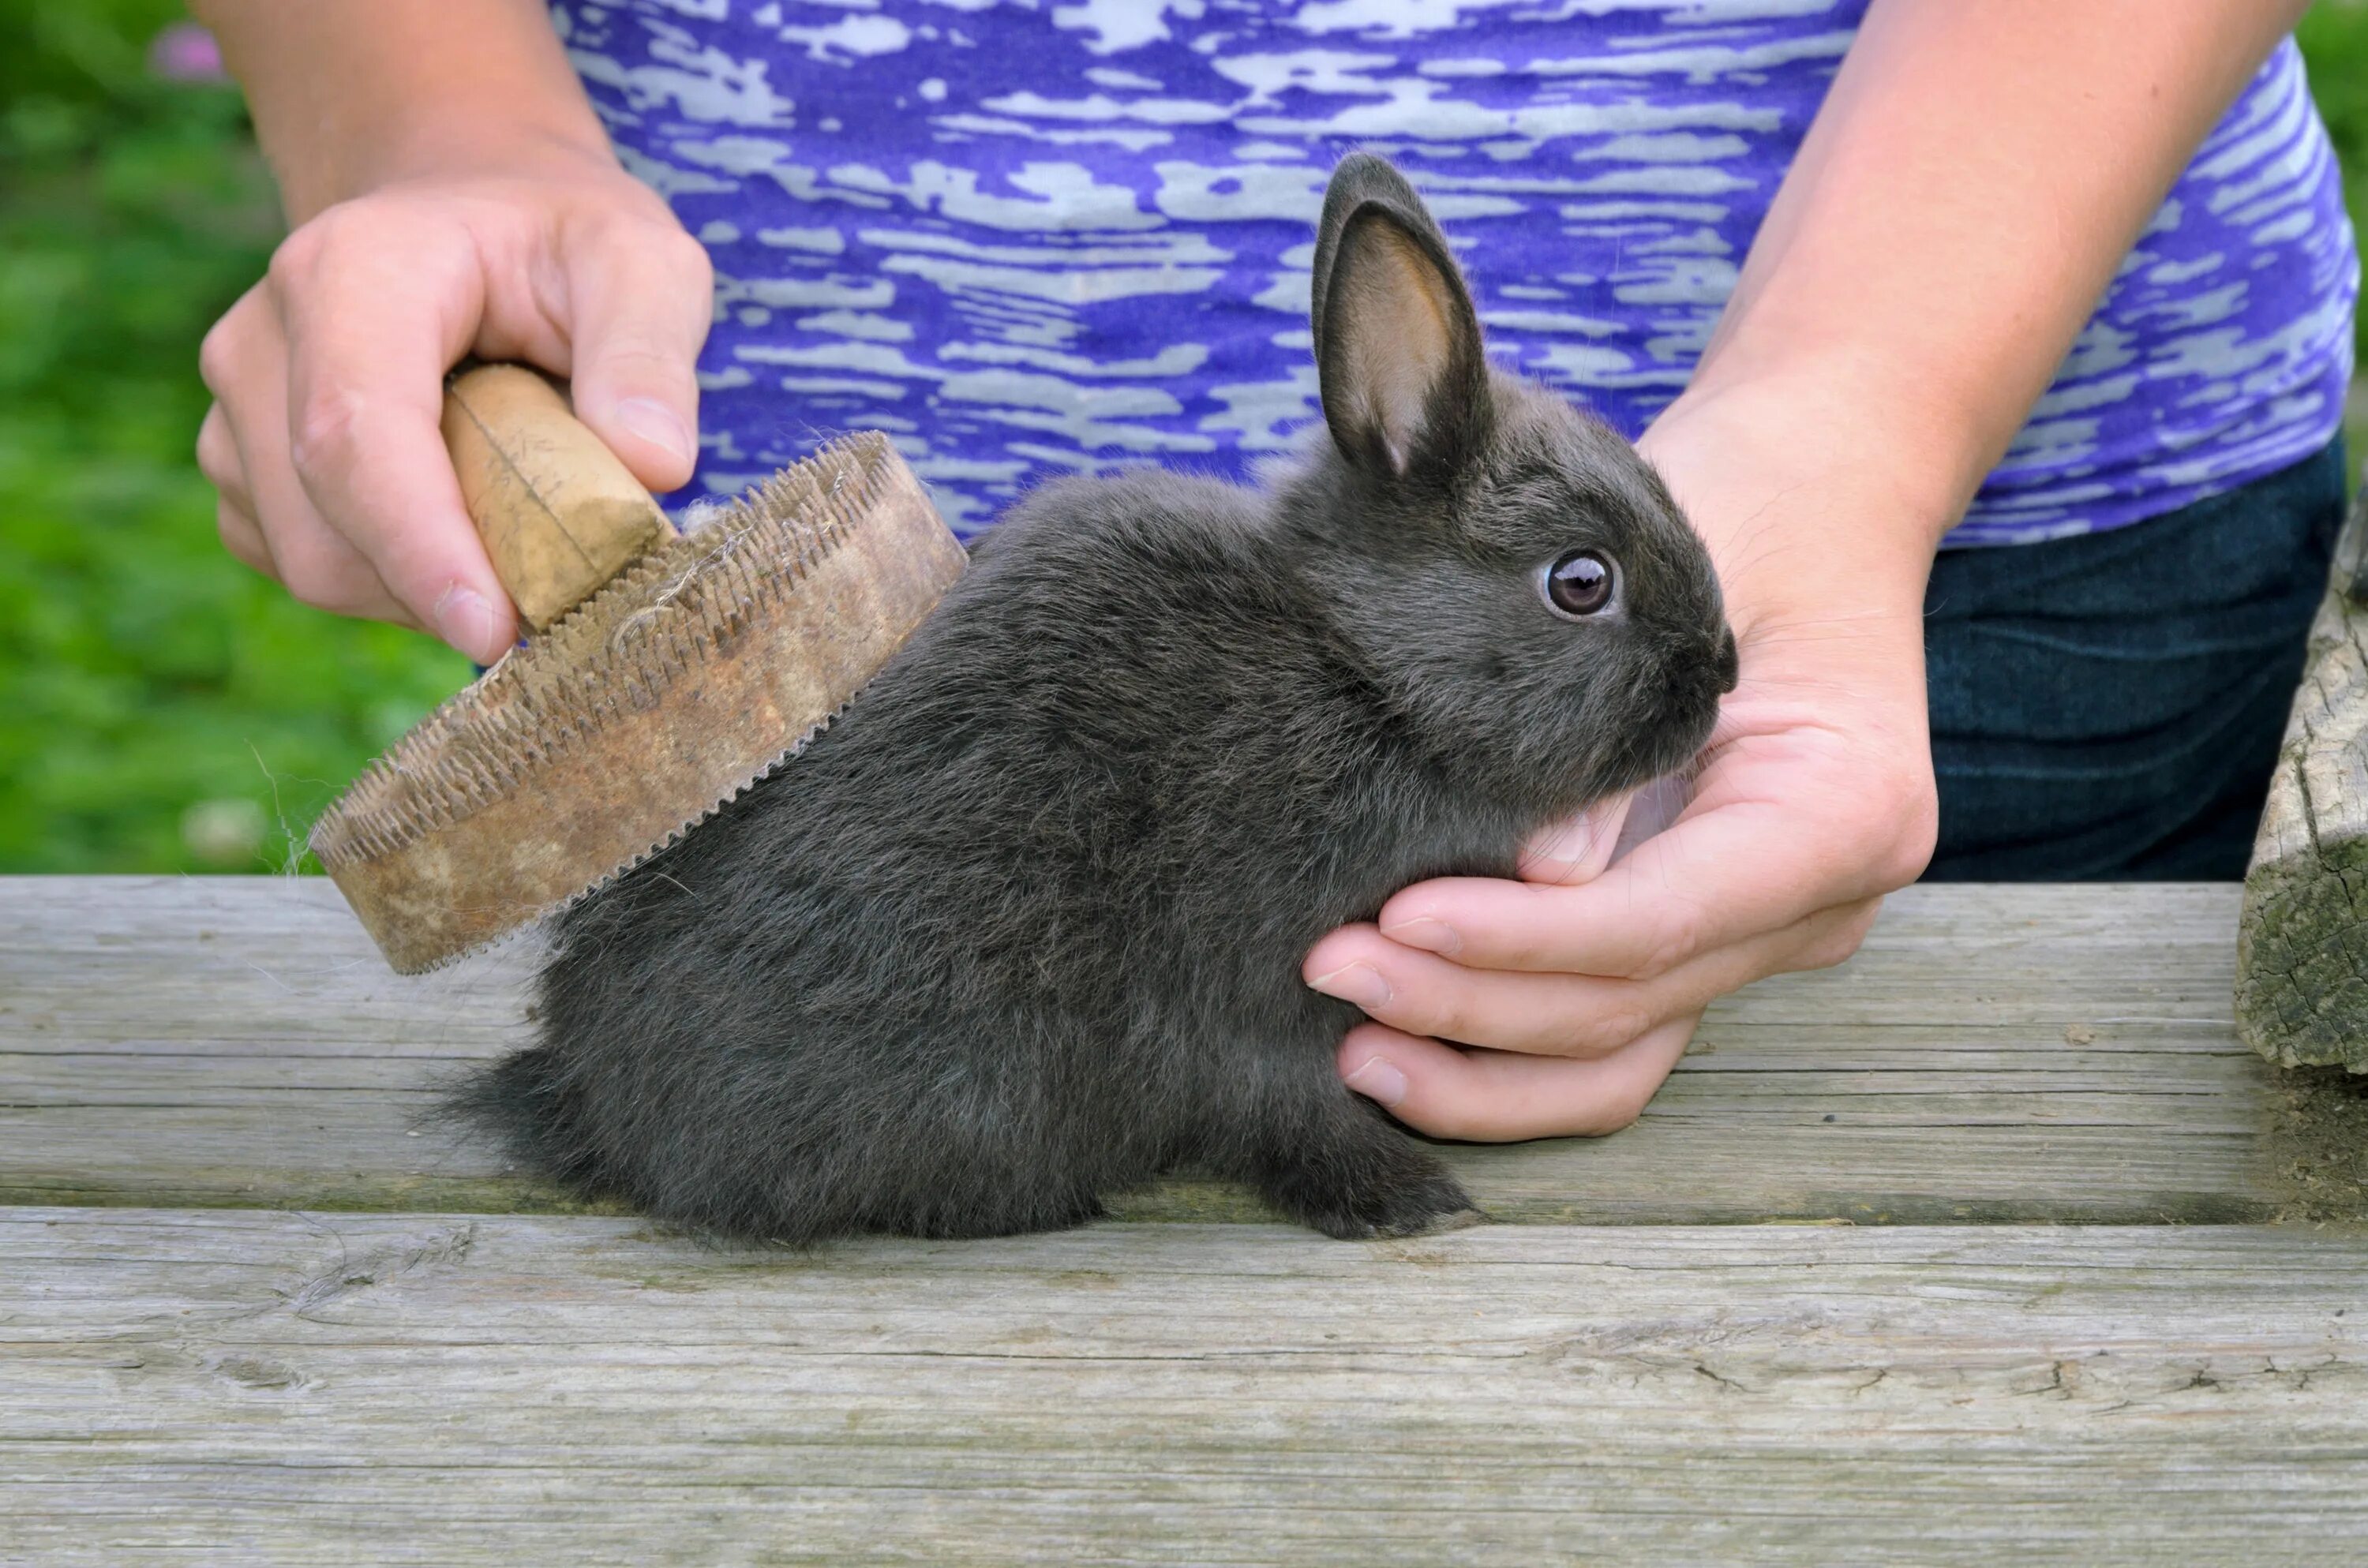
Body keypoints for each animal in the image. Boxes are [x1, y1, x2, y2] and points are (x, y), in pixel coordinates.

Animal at [448, 154, 1743, 1250]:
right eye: (1582, 582)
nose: (1724, 674)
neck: (1364, 672)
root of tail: (592, 1094)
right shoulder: (1252, 979)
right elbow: (1280, 1099)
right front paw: (1405, 1198)